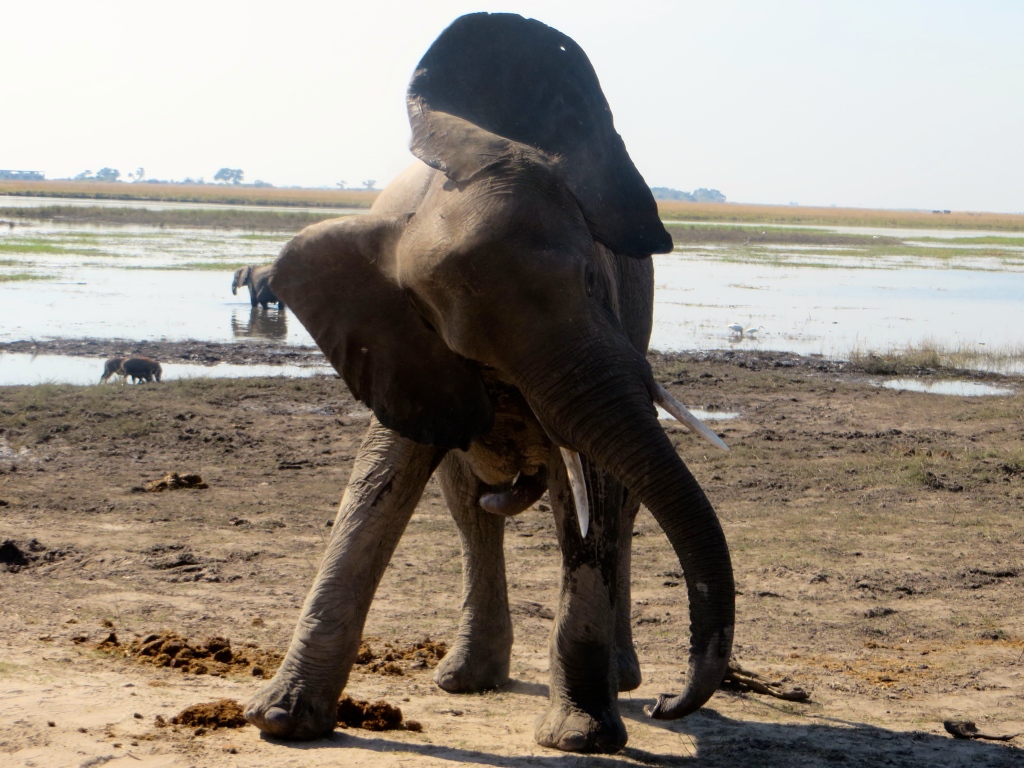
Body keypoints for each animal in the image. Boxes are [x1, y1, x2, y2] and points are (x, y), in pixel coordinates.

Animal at [243, 12, 733, 757]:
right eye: (471, 343)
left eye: (592, 281)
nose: (670, 705)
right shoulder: (405, 349)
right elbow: (376, 486)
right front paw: (280, 722)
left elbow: (590, 500)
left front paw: (579, 738)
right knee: (471, 510)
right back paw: (467, 680)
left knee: (616, 505)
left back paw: (618, 680)